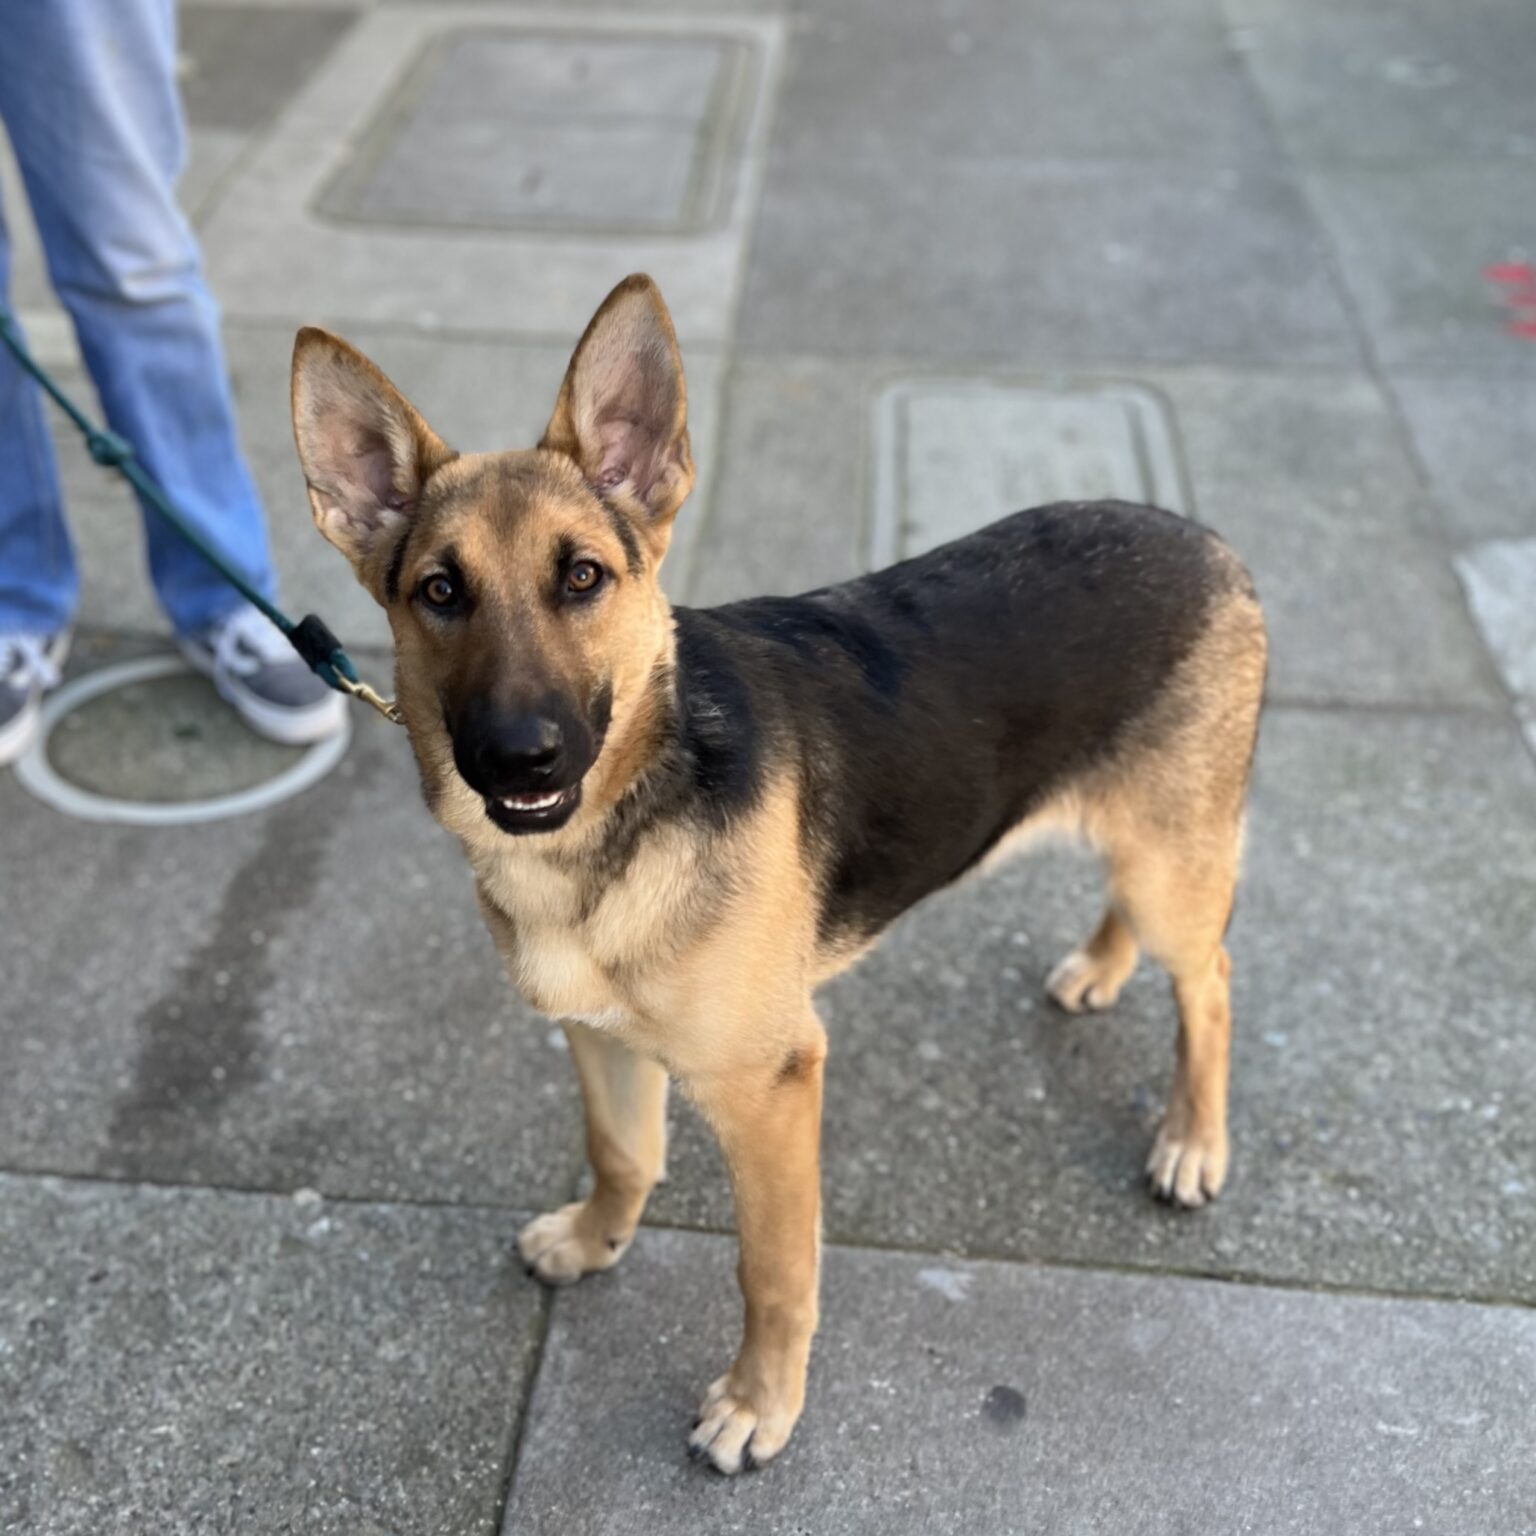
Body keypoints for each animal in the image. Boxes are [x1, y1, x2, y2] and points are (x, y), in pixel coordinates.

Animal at [293, 276, 1265, 1474]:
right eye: (439, 591)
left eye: (583, 577)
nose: (523, 759)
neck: (618, 824)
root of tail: (1204, 540)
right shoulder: (602, 1041)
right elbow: (620, 1154)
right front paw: (596, 1239)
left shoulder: (773, 1086)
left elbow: (773, 1266)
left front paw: (761, 1404)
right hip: (1144, 842)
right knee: (1139, 914)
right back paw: (1099, 968)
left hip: (1174, 861)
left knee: (1211, 982)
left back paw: (1192, 1140)